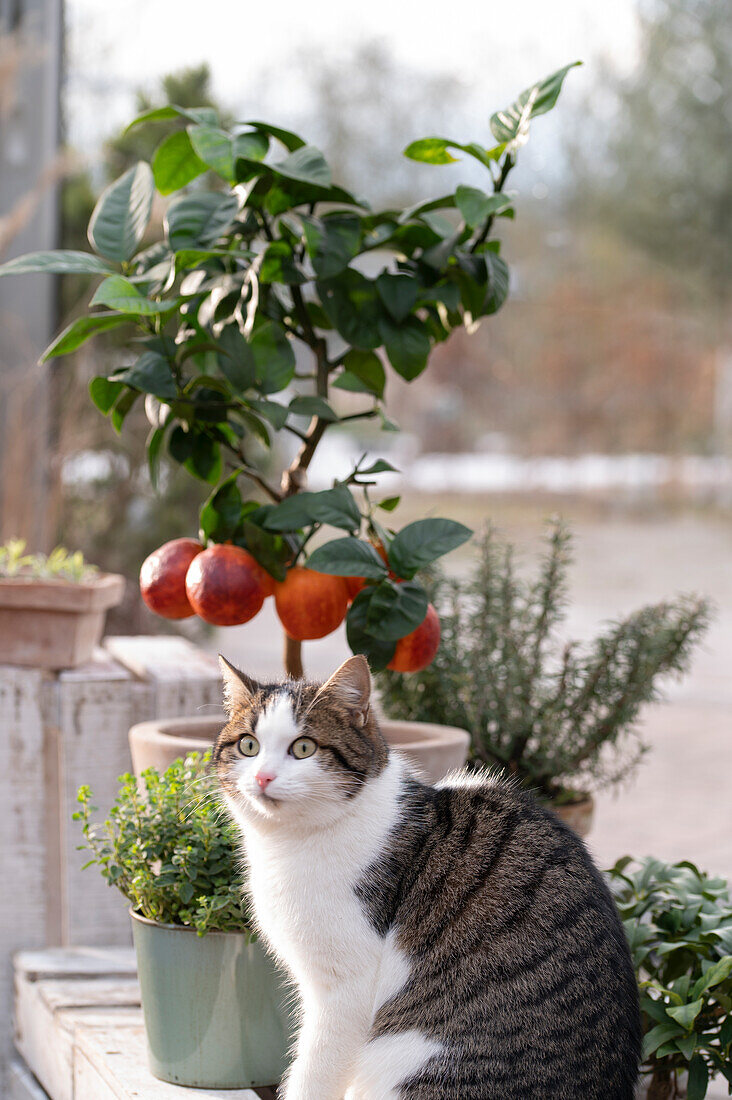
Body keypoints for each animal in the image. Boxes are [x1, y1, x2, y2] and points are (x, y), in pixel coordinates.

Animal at [212, 651, 638, 1100]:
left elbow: (312, 1077)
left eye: (304, 748)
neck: (287, 844)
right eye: (248, 745)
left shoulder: (346, 989)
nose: (263, 777)